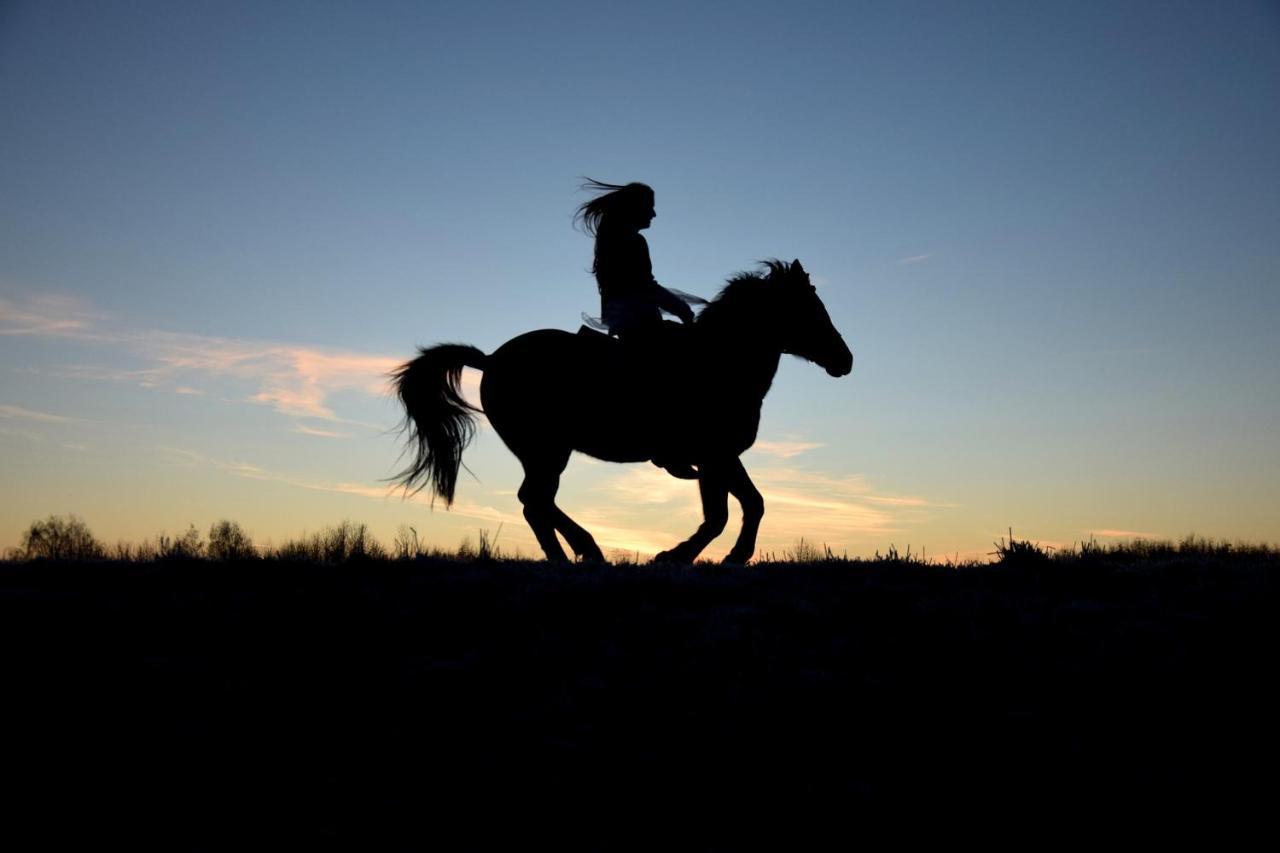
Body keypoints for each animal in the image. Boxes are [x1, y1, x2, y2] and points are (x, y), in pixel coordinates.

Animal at [389, 258, 849, 563]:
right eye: (809, 309)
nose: (845, 361)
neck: (718, 362)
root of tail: (490, 360)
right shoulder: (713, 456)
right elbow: (724, 513)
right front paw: (679, 556)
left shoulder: (718, 458)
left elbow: (748, 504)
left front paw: (720, 556)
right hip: (546, 450)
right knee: (534, 501)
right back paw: (582, 554)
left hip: (544, 452)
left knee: (536, 503)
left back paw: (577, 554)